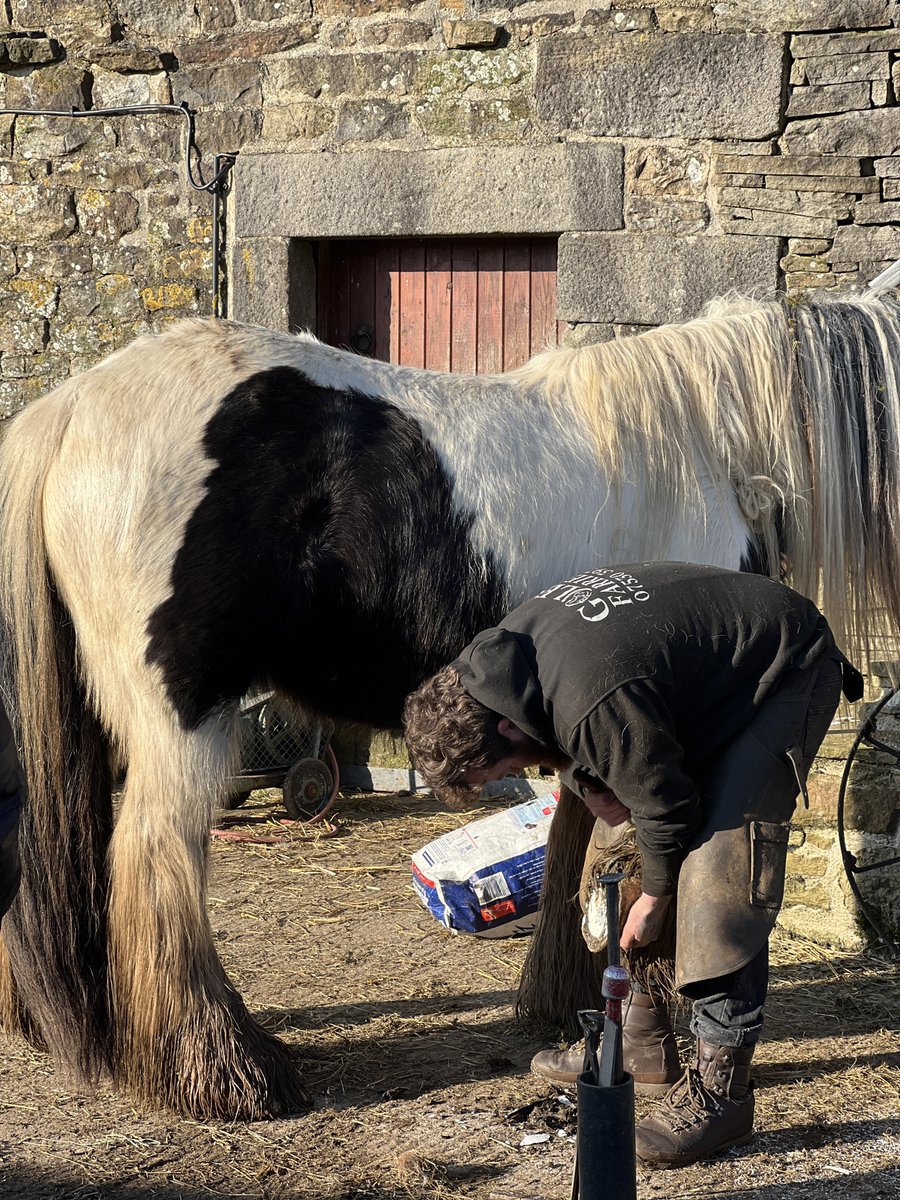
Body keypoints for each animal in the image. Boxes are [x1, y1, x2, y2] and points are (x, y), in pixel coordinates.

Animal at [0, 290, 898, 1120]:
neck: (714, 447)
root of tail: (69, 408)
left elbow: (581, 850)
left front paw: (564, 1002)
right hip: (182, 723)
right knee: (158, 860)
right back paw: (227, 1074)